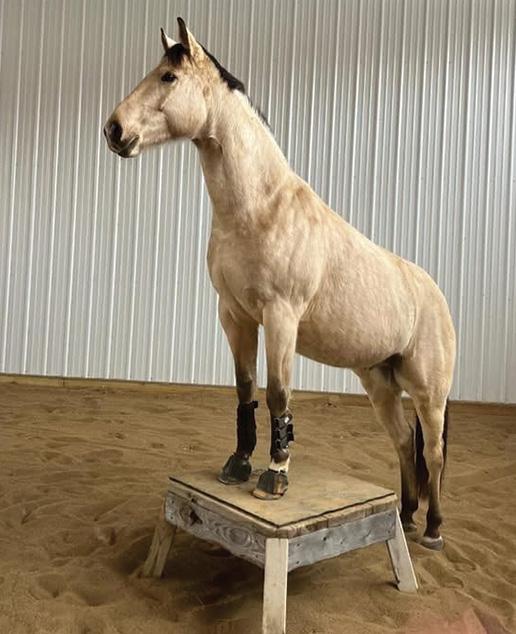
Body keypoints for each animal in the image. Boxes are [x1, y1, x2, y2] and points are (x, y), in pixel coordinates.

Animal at [104, 18, 456, 550]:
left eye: (168, 76)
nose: (114, 130)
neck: (259, 209)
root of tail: (436, 295)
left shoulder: (281, 318)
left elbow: (277, 395)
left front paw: (274, 477)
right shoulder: (234, 315)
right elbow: (245, 388)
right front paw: (237, 465)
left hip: (428, 393)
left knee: (432, 452)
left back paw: (433, 528)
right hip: (380, 384)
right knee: (403, 442)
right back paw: (407, 515)